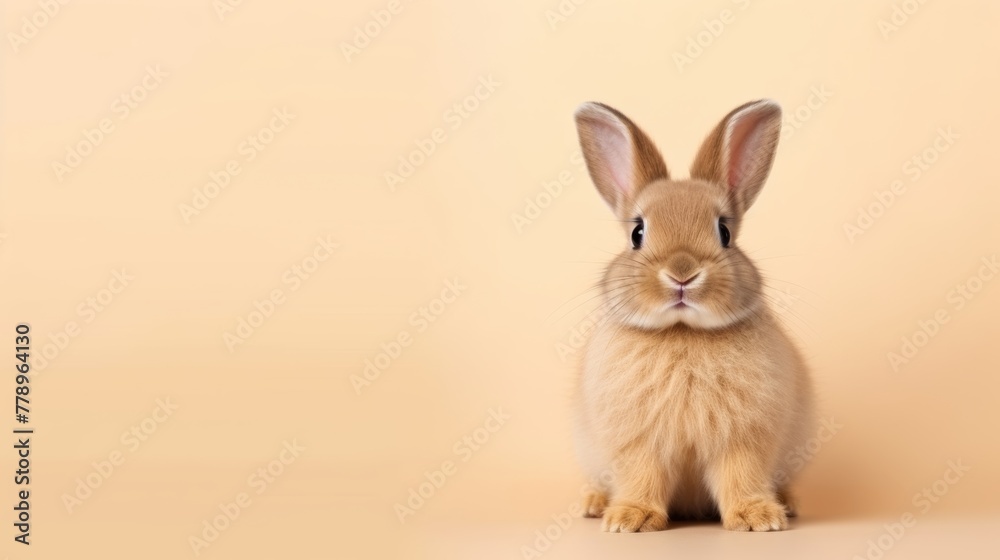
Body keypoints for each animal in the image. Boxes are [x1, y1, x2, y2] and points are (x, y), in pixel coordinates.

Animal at [570, 99, 816, 533]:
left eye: (724, 232)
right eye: (637, 233)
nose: (682, 273)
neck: (682, 332)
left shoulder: (743, 438)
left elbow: (740, 474)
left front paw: (758, 518)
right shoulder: (639, 442)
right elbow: (641, 474)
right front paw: (630, 519)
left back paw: (787, 503)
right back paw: (595, 502)